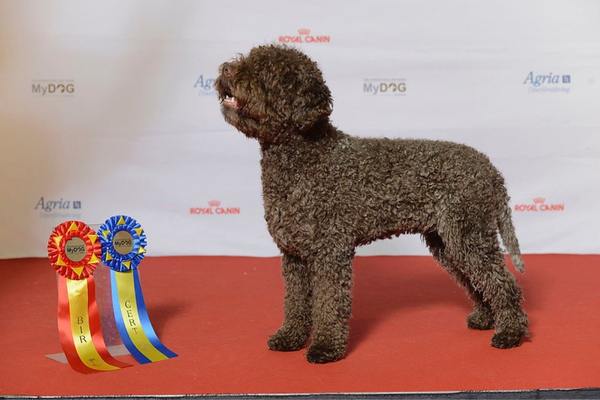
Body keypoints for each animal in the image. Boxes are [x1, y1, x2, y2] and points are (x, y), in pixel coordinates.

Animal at [214, 43, 524, 362]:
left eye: (266, 73)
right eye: (246, 60)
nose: (225, 68)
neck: (304, 157)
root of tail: (491, 169)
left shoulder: (330, 250)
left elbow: (329, 302)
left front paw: (326, 346)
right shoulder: (294, 254)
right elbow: (295, 301)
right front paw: (291, 337)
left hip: (468, 235)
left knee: (502, 282)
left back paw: (511, 332)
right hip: (447, 242)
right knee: (478, 280)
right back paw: (486, 318)